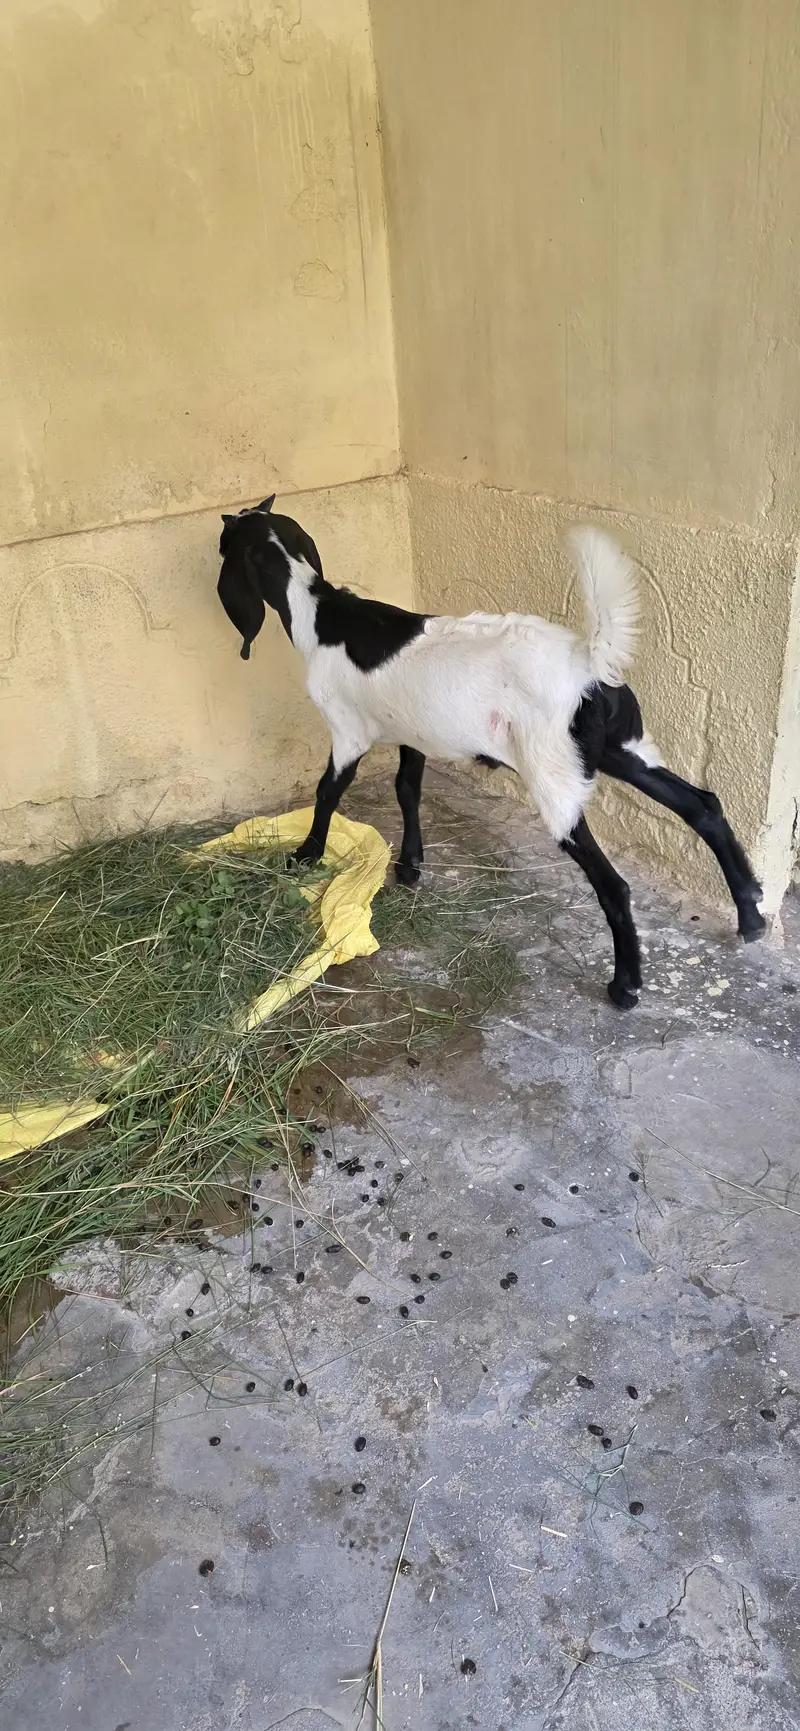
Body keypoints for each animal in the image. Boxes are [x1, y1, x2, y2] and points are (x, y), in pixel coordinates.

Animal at [217, 497, 766, 1009]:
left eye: (225, 543)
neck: (321, 615)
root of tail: (589, 663)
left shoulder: (347, 730)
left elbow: (328, 791)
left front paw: (305, 855)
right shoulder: (414, 733)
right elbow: (406, 788)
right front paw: (410, 865)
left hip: (554, 774)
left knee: (614, 884)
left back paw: (625, 986)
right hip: (623, 749)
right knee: (702, 805)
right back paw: (752, 915)